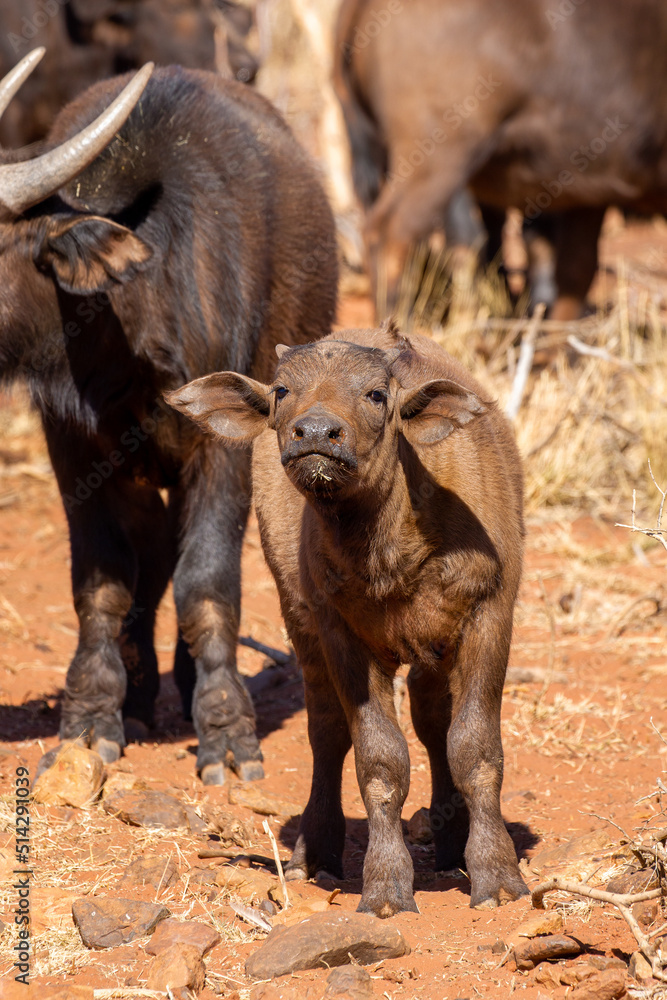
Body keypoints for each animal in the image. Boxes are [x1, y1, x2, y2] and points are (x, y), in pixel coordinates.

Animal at [0, 50, 337, 784]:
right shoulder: (75, 450)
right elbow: (102, 584)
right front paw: (92, 718)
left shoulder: (224, 447)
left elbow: (207, 583)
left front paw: (226, 733)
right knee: (150, 562)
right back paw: (140, 694)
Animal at [166, 320, 528, 915]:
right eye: (282, 390)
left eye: (377, 394)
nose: (316, 433)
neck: (393, 543)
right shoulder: (341, 634)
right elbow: (379, 761)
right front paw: (385, 886)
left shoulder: (489, 613)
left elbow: (474, 748)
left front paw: (496, 875)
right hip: (301, 620)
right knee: (328, 730)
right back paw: (315, 851)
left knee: (432, 721)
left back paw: (452, 844)